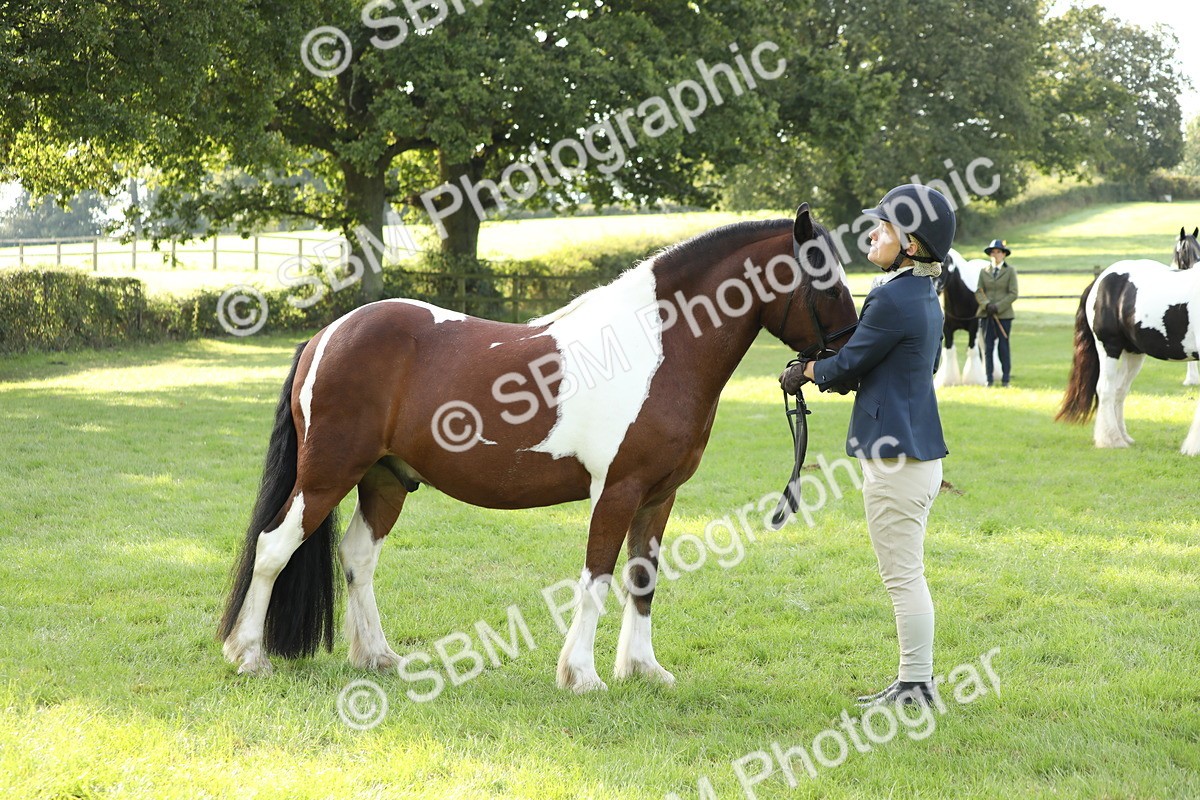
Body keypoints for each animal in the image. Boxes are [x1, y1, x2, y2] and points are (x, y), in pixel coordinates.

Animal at [218, 205, 859, 692]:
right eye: (824, 277)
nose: (850, 356)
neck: (657, 347)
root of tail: (326, 335)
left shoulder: (660, 497)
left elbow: (642, 577)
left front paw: (644, 670)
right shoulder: (617, 491)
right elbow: (598, 576)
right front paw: (583, 676)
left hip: (384, 480)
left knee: (357, 557)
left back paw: (378, 657)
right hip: (327, 473)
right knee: (274, 547)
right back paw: (249, 656)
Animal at [933, 248, 990, 387]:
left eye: (943, 266)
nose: (935, 289)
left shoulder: (974, 326)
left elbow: (973, 350)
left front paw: (974, 380)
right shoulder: (947, 329)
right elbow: (949, 351)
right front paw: (948, 380)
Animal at [1057, 258, 1200, 455]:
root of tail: (1099, 280)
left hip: (1133, 353)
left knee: (1119, 390)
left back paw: (1123, 436)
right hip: (1109, 347)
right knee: (1105, 389)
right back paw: (1112, 440)